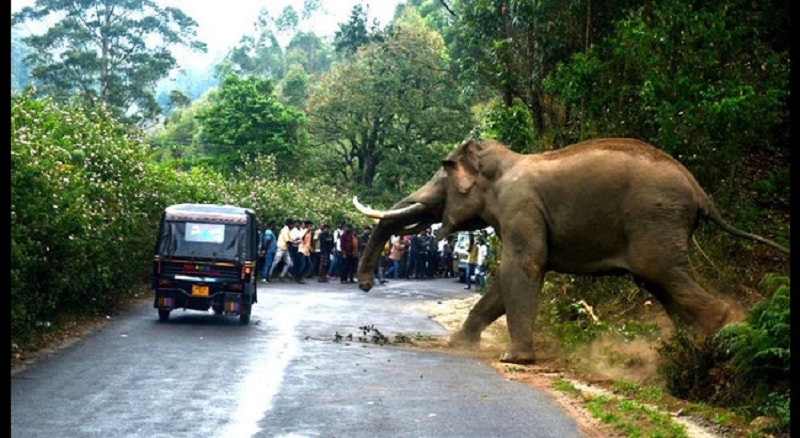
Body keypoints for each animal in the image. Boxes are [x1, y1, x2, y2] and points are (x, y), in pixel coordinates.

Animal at [354, 139, 788, 364]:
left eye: (441, 177)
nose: (365, 285)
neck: (505, 160)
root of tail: (700, 191)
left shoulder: (521, 207)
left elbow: (521, 268)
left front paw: (513, 359)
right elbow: (504, 282)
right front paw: (459, 345)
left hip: (655, 219)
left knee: (663, 274)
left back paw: (717, 330)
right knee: (660, 282)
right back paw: (687, 343)